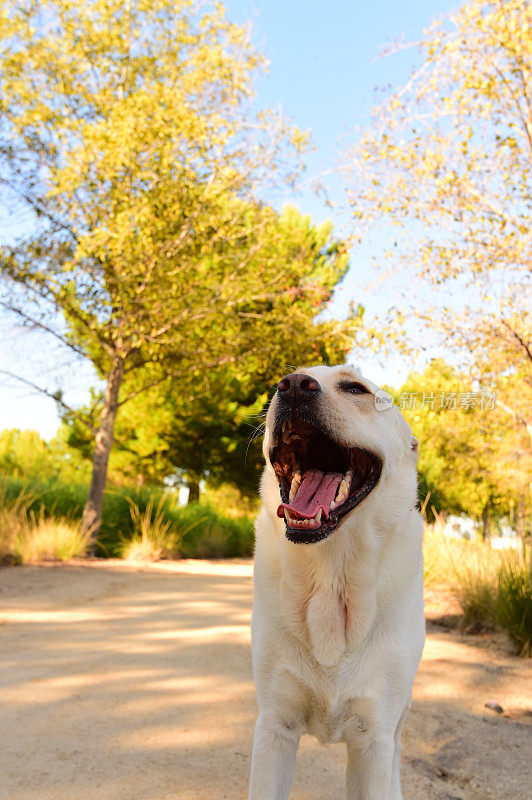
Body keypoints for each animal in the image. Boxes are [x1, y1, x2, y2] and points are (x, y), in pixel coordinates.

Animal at [247, 366, 426, 796]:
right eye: (282, 384)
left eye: (355, 389)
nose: (294, 386)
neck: (331, 578)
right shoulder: (274, 727)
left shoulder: (374, 739)